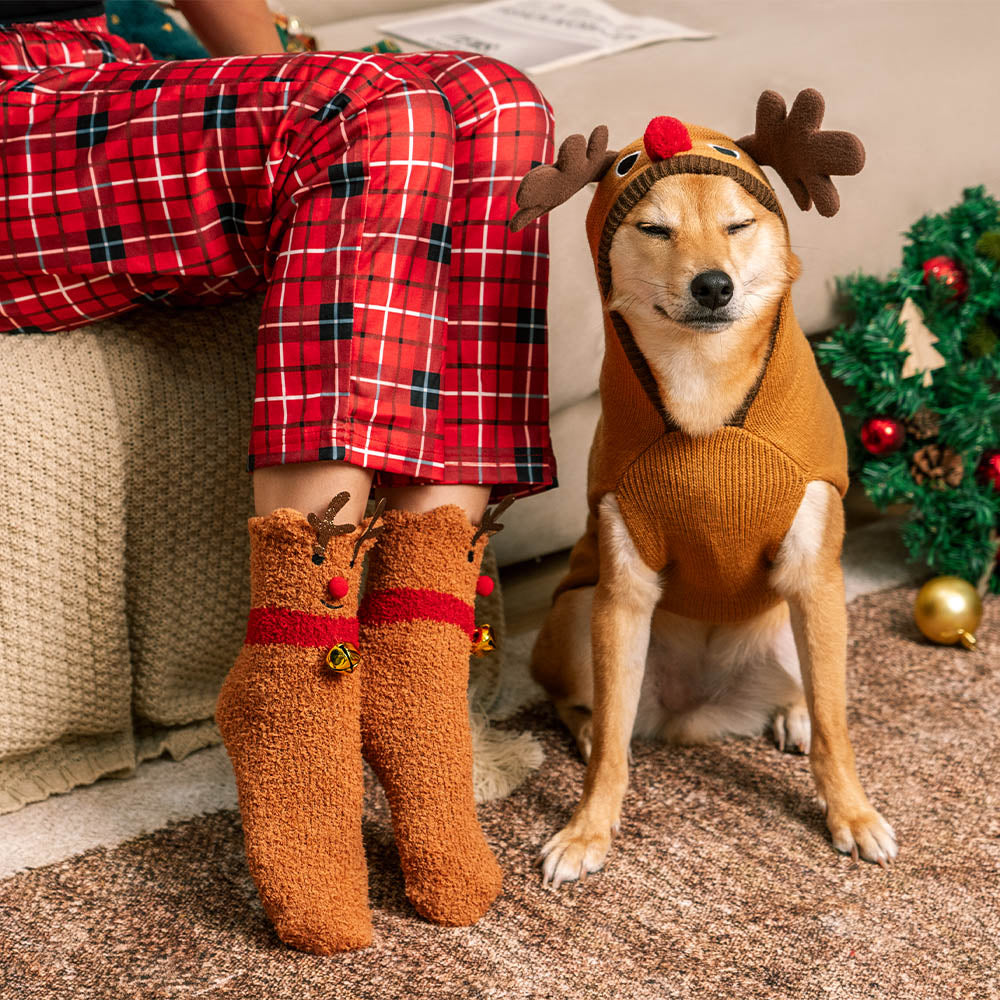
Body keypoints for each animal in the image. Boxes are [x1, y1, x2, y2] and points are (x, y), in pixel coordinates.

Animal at [508, 90, 900, 888]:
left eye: (738, 225)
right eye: (653, 228)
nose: (713, 284)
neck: (703, 394)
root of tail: (699, 711)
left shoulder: (814, 574)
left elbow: (837, 728)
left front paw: (850, 813)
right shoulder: (623, 590)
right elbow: (613, 752)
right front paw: (589, 828)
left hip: (806, 618)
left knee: (813, 691)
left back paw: (792, 714)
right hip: (579, 614)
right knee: (593, 711)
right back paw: (589, 730)